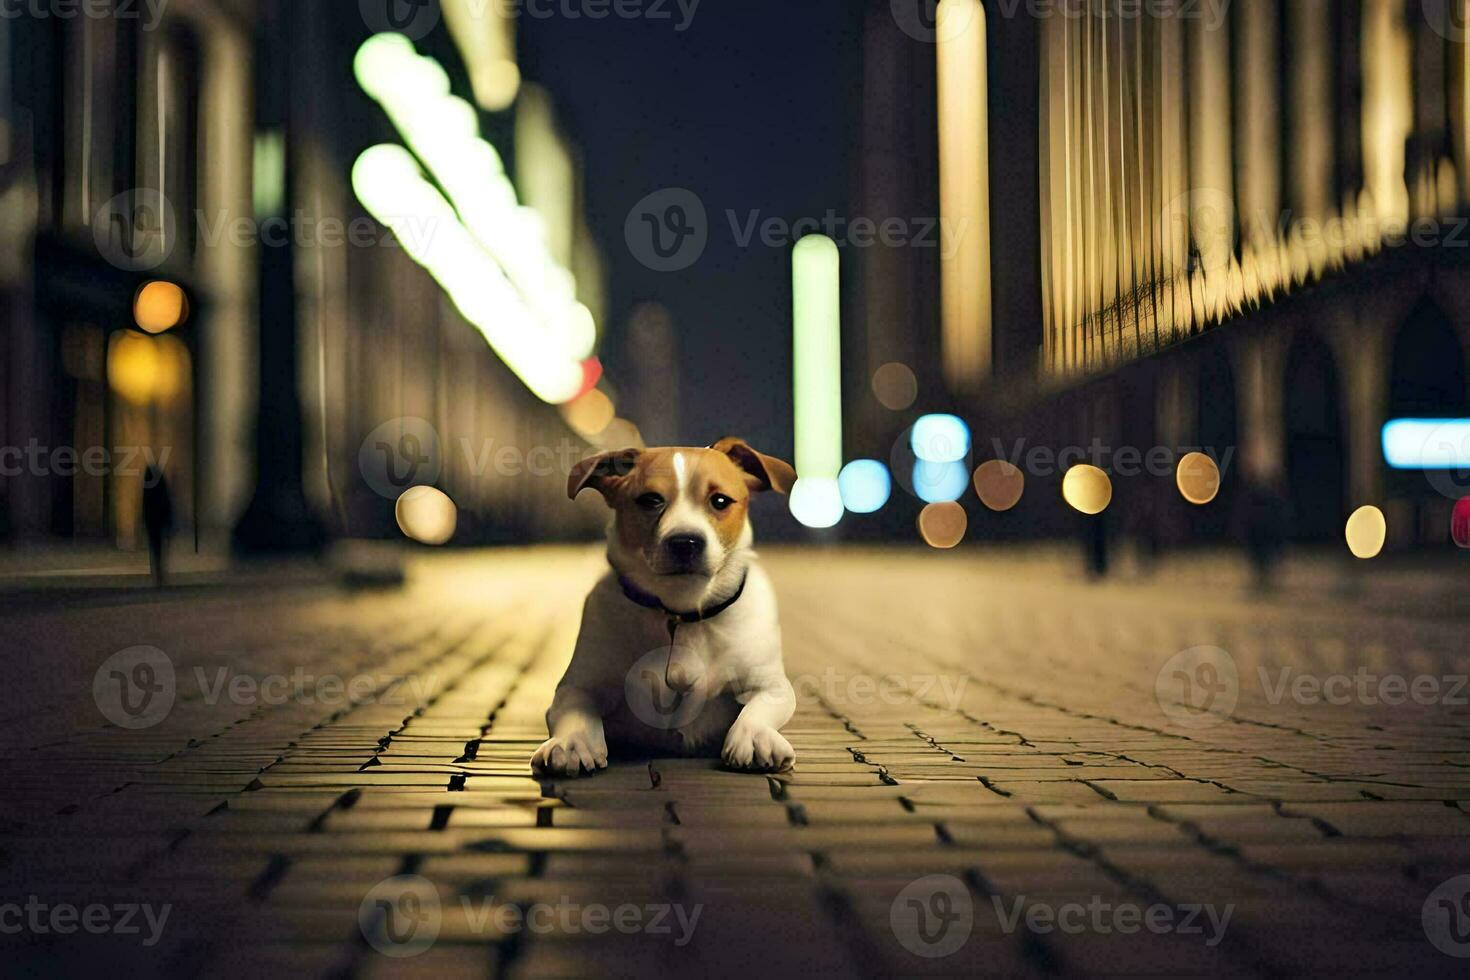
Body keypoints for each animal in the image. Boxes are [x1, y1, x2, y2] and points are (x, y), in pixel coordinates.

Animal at [532, 440, 799, 775]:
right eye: (650, 500)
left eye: (720, 501)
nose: (686, 542)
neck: (680, 611)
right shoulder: (578, 685)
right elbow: (575, 709)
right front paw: (571, 743)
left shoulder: (770, 684)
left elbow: (761, 706)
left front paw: (754, 736)